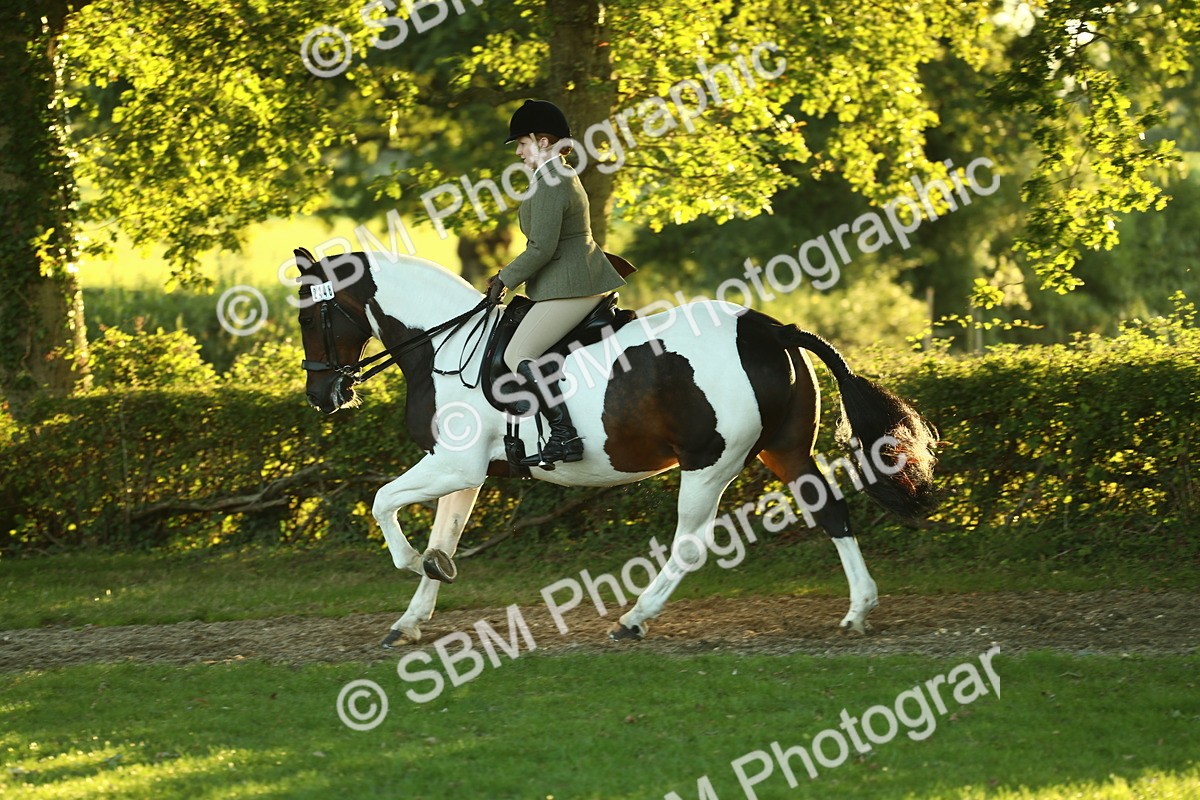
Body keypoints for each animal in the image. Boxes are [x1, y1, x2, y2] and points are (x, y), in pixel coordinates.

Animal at [291, 248, 938, 646]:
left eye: (310, 316)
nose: (322, 396)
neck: (445, 345)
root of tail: (767, 327)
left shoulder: (452, 464)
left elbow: (383, 502)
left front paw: (409, 565)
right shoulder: (465, 471)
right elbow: (441, 541)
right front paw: (411, 616)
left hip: (709, 464)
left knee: (691, 545)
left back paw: (634, 619)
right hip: (784, 452)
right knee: (831, 510)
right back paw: (859, 609)